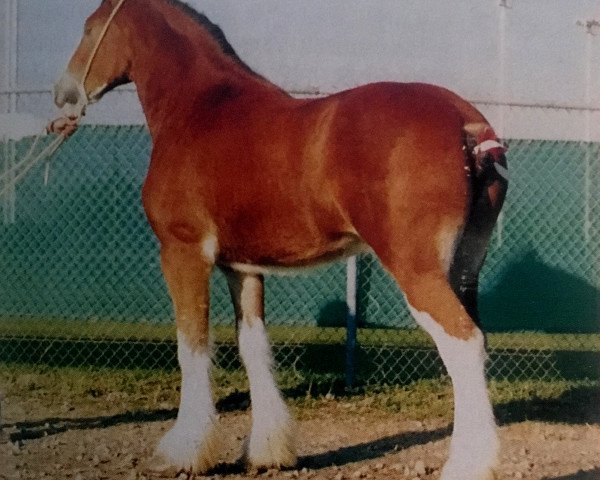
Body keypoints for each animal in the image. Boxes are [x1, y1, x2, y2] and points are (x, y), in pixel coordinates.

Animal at [52, 1, 506, 478]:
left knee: (462, 343)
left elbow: (191, 344)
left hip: (418, 272)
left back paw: (467, 463)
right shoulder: (243, 268)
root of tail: (466, 124)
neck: (199, 108)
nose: (64, 93)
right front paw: (267, 451)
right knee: (477, 342)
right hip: (464, 272)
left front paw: (183, 452)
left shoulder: (182, 254)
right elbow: (253, 347)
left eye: (89, 29)